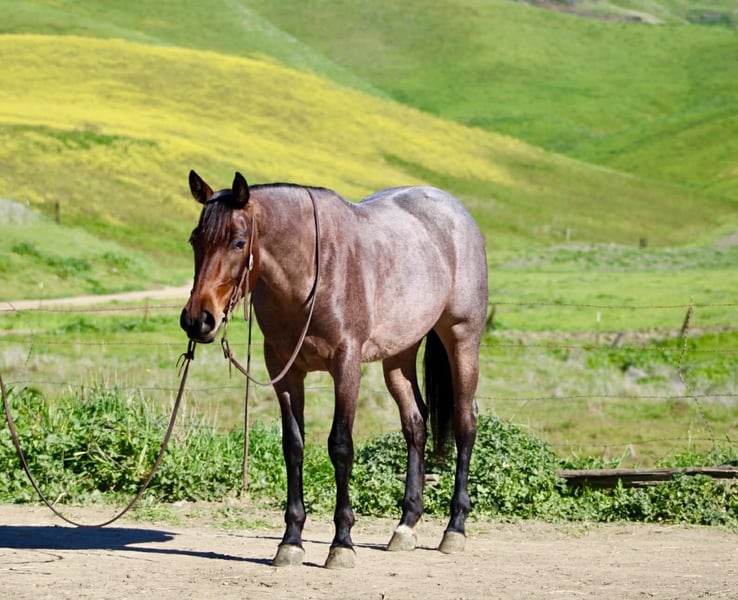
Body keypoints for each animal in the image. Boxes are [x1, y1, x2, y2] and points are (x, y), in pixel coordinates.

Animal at [180, 171, 488, 569]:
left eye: (238, 242)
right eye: (195, 240)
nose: (198, 320)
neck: (312, 272)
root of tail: (455, 212)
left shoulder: (346, 366)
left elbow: (341, 446)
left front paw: (342, 543)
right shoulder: (285, 372)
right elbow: (293, 446)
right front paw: (291, 541)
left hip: (462, 340)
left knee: (466, 421)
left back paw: (455, 528)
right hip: (400, 355)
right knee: (415, 424)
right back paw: (406, 525)